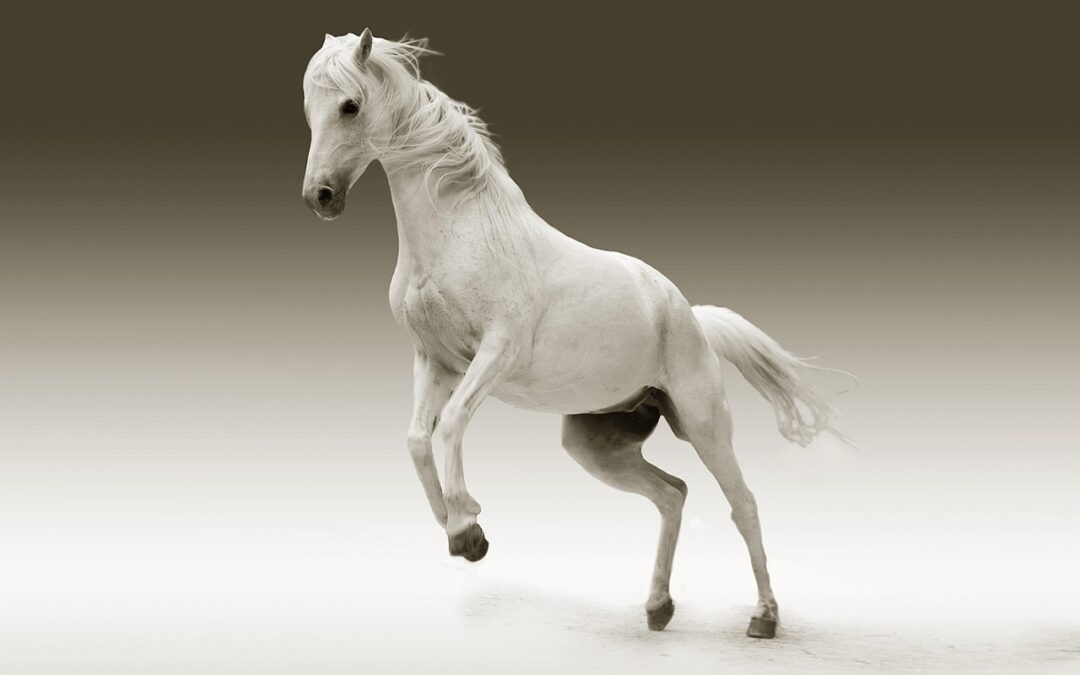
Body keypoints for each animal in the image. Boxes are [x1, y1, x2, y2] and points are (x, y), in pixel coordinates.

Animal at [301, 29, 849, 639]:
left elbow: (452, 425)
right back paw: (658, 607)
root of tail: (690, 316)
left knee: (744, 504)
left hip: (704, 424)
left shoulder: (496, 353)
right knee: (672, 494)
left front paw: (466, 528)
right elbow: (418, 439)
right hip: (596, 444)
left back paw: (764, 617)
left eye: (350, 105)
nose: (319, 196)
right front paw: (462, 530)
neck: (461, 232)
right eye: (308, 107)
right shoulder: (434, 361)